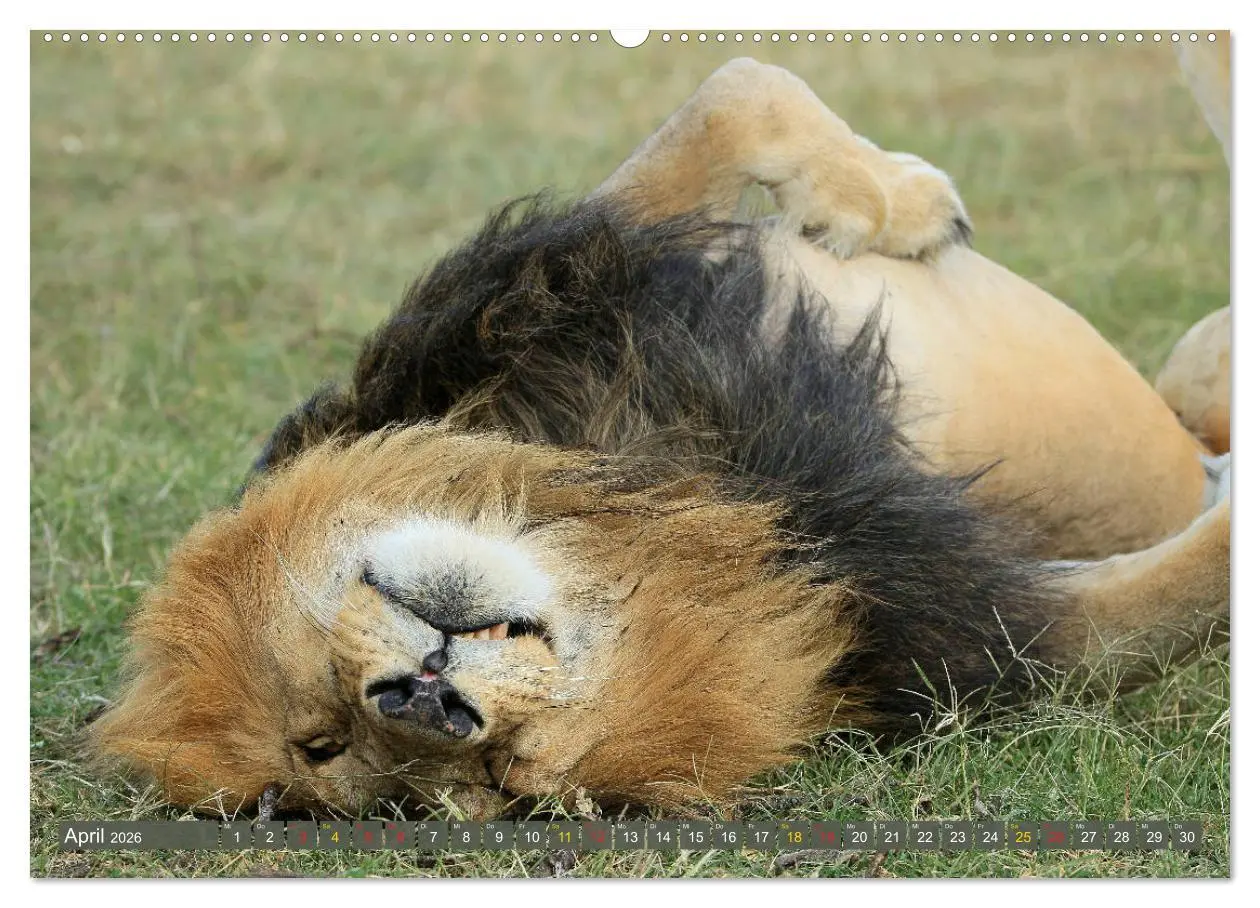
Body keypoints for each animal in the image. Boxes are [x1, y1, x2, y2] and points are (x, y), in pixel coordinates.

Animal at [93, 57, 1230, 821]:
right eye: (502, 779)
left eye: (319, 726)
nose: (423, 698)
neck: (662, 477)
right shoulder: (968, 628)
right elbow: (1196, 582)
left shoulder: (553, 281)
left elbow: (734, 92)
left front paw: (893, 200)